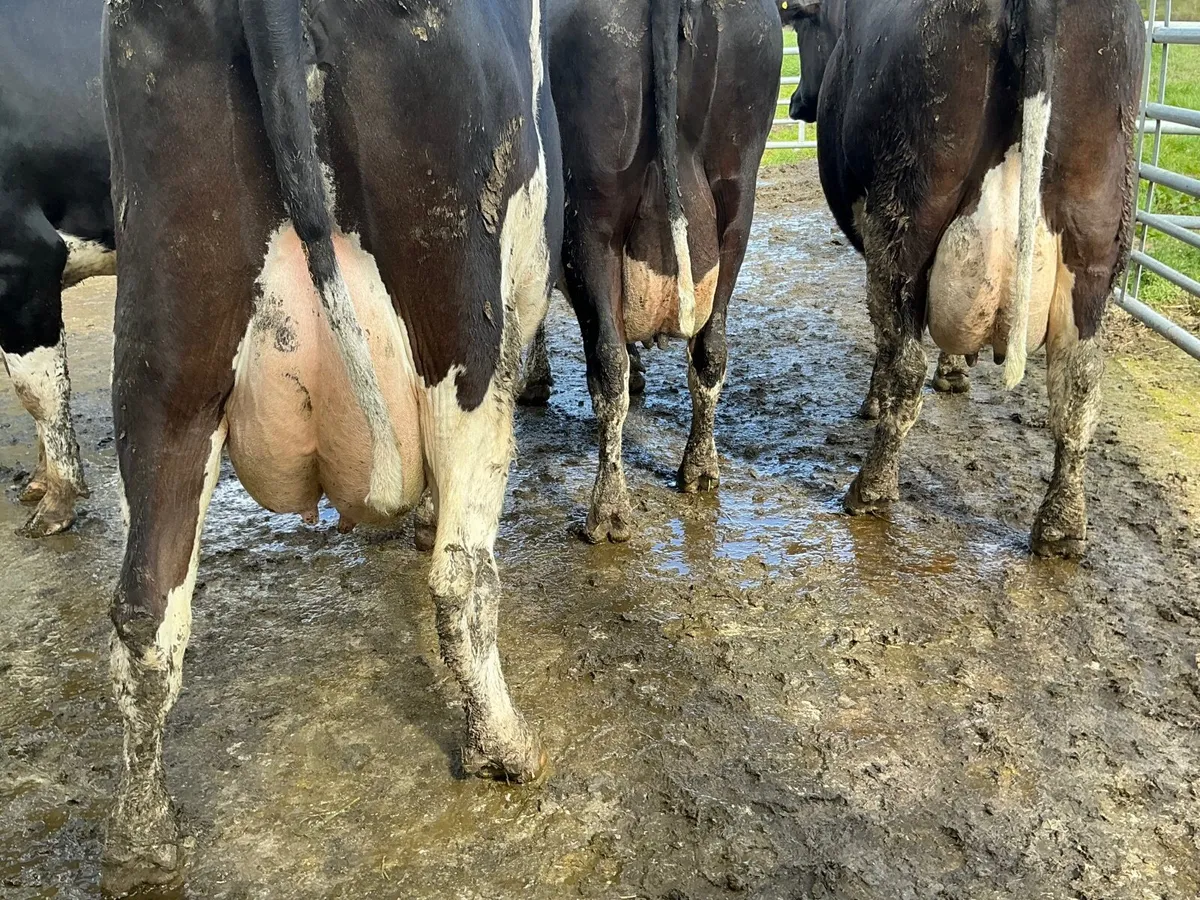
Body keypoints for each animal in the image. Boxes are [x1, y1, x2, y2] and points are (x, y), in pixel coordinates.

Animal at [100, 0, 561, 891]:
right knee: (462, 574)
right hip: (462, 324)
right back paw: (506, 746)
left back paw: (143, 845)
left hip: (165, 353)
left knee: (144, 610)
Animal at [519, 0, 782, 543]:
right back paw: (699, 470)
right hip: (737, 196)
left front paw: (533, 380)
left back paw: (608, 510)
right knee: (710, 349)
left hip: (591, 211)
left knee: (607, 364)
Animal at [778, 0, 1144, 557]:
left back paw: (871, 488)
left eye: (803, 23)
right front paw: (954, 371)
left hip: (904, 220)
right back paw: (1061, 527)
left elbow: (888, 342)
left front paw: (874, 401)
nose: (797, 101)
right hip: (1097, 240)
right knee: (1080, 384)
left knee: (906, 363)